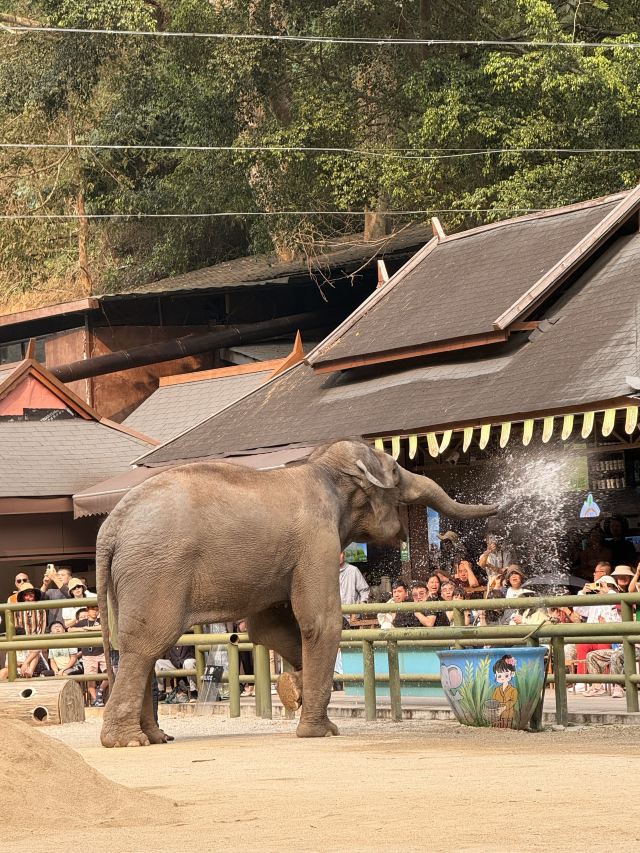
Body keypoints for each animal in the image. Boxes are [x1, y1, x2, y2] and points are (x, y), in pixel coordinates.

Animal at [96, 439, 498, 747]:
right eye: (396, 474)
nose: (498, 505)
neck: (320, 467)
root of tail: (111, 526)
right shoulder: (317, 541)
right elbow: (321, 621)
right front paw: (322, 731)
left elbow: (268, 628)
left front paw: (293, 689)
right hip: (156, 570)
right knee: (147, 644)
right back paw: (127, 742)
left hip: (133, 577)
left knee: (142, 650)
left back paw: (156, 737)